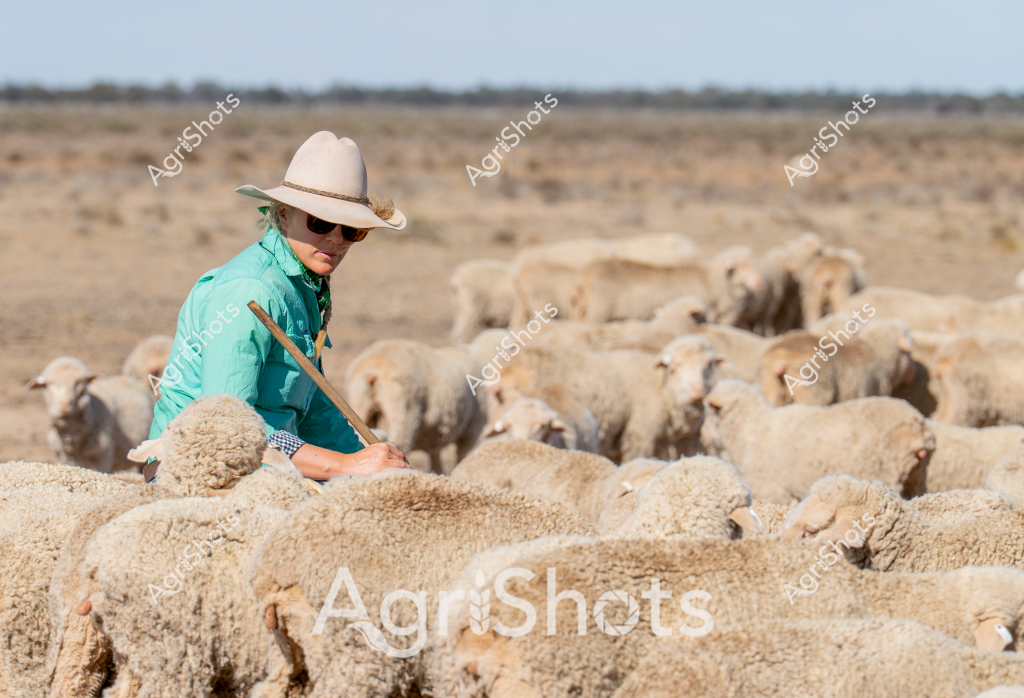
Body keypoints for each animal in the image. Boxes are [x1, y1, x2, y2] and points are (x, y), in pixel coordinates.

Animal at [27, 356, 155, 473]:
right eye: (49, 384)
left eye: (79, 382)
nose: (65, 405)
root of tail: (127, 379)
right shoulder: (63, 458)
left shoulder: (103, 457)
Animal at [570, 246, 765, 325]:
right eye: (743, 266)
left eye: (754, 262)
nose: (759, 282)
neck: (709, 281)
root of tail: (584, 274)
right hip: (598, 311)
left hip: (583, 308)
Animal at [701, 380, 933, 503]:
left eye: (708, 412)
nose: (702, 435)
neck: (748, 431)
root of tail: (918, 424)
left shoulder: (772, 492)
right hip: (916, 480)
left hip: (886, 474)